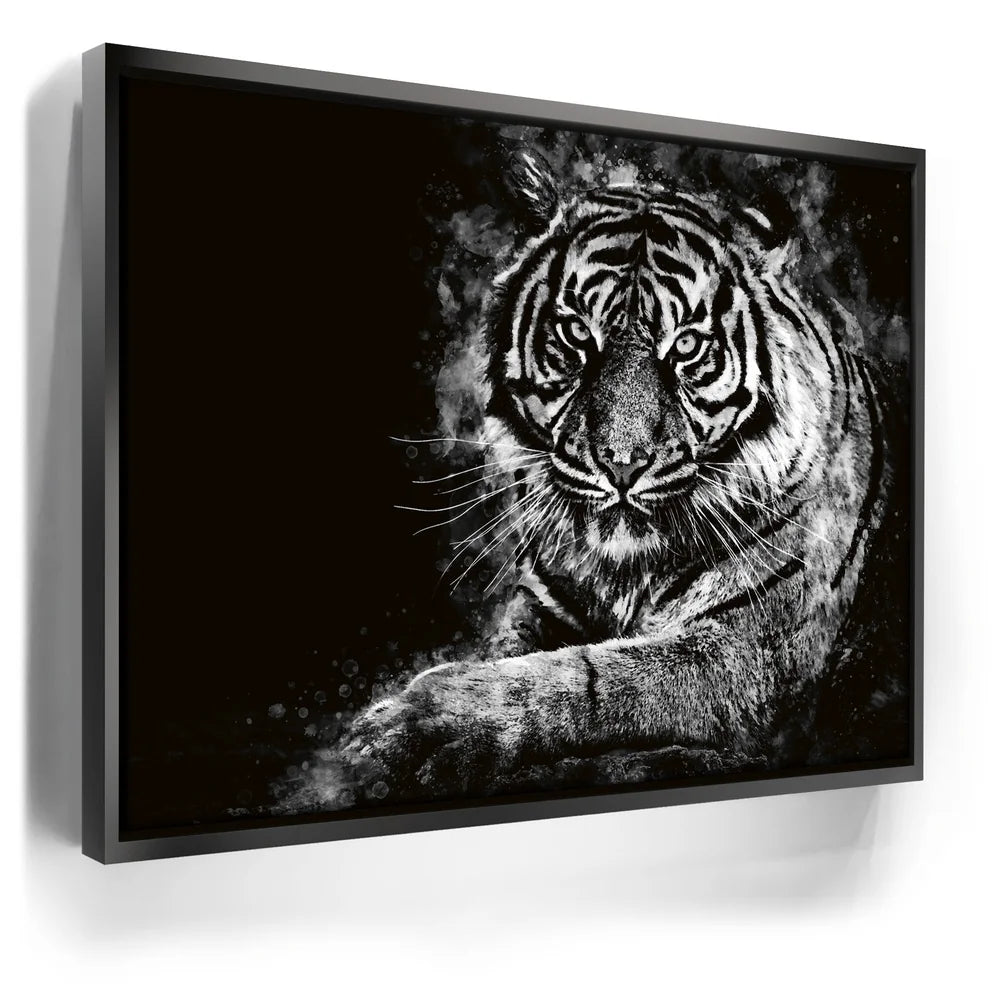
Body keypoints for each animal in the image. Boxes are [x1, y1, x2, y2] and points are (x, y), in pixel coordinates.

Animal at [326, 147, 908, 803]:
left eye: (687, 346)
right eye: (577, 333)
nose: (621, 463)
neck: (623, 569)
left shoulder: (747, 650)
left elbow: (587, 677)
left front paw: (413, 727)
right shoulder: (545, 604)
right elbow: (515, 655)